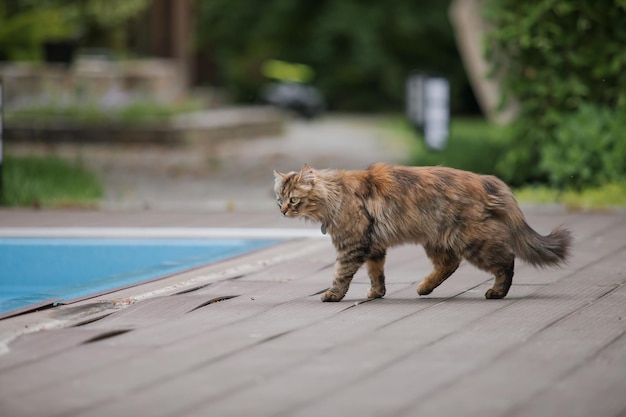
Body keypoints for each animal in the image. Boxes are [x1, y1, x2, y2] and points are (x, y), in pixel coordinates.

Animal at [272, 162, 572, 302]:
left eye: (293, 200)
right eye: (279, 200)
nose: (283, 211)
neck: (336, 194)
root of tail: (487, 180)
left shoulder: (352, 245)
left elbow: (341, 274)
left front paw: (333, 295)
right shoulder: (374, 247)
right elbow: (376, 273)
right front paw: (376, 293)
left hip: (473, 241)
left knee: (506, 260)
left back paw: (496, 292)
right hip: (438, 240)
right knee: (450, 264)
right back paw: (425, 287)